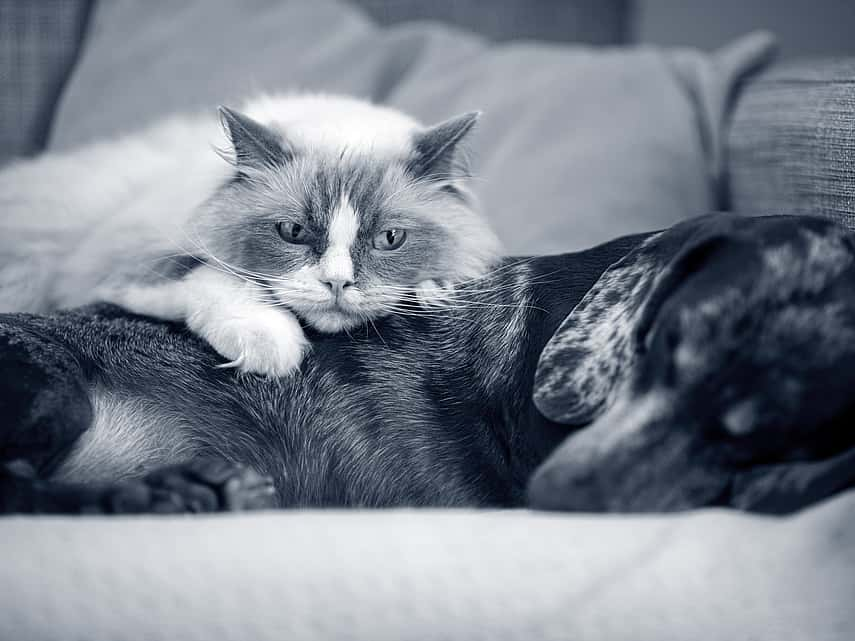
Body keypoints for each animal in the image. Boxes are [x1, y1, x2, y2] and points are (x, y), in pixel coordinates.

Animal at [0, 94, 502, 376]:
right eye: (292, 232)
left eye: (390, 239)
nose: (337, 283)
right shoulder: (129, 270)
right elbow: (221, 280)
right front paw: (270, 348)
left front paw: (436, 288)